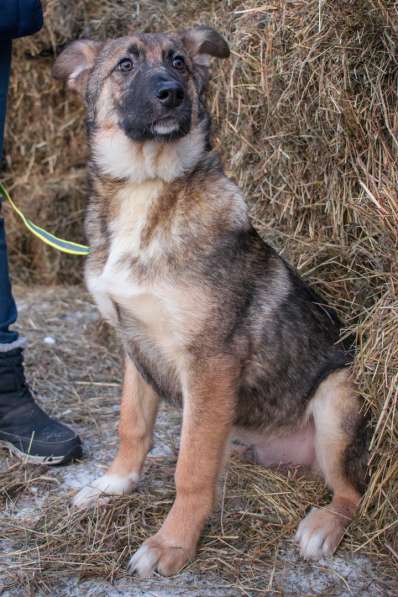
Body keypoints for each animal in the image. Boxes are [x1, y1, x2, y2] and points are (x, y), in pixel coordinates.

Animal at [54, 28, 368, 576]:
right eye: (124, 65)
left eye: (180, 62)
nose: (171, 94)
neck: (147, 188)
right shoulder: (134, 343)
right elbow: (132, 425)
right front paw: (113, 484)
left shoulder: (209, 360)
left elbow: (192, 468)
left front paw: (172, 544)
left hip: (338, 396)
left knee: (351, 490)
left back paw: (323, 526)